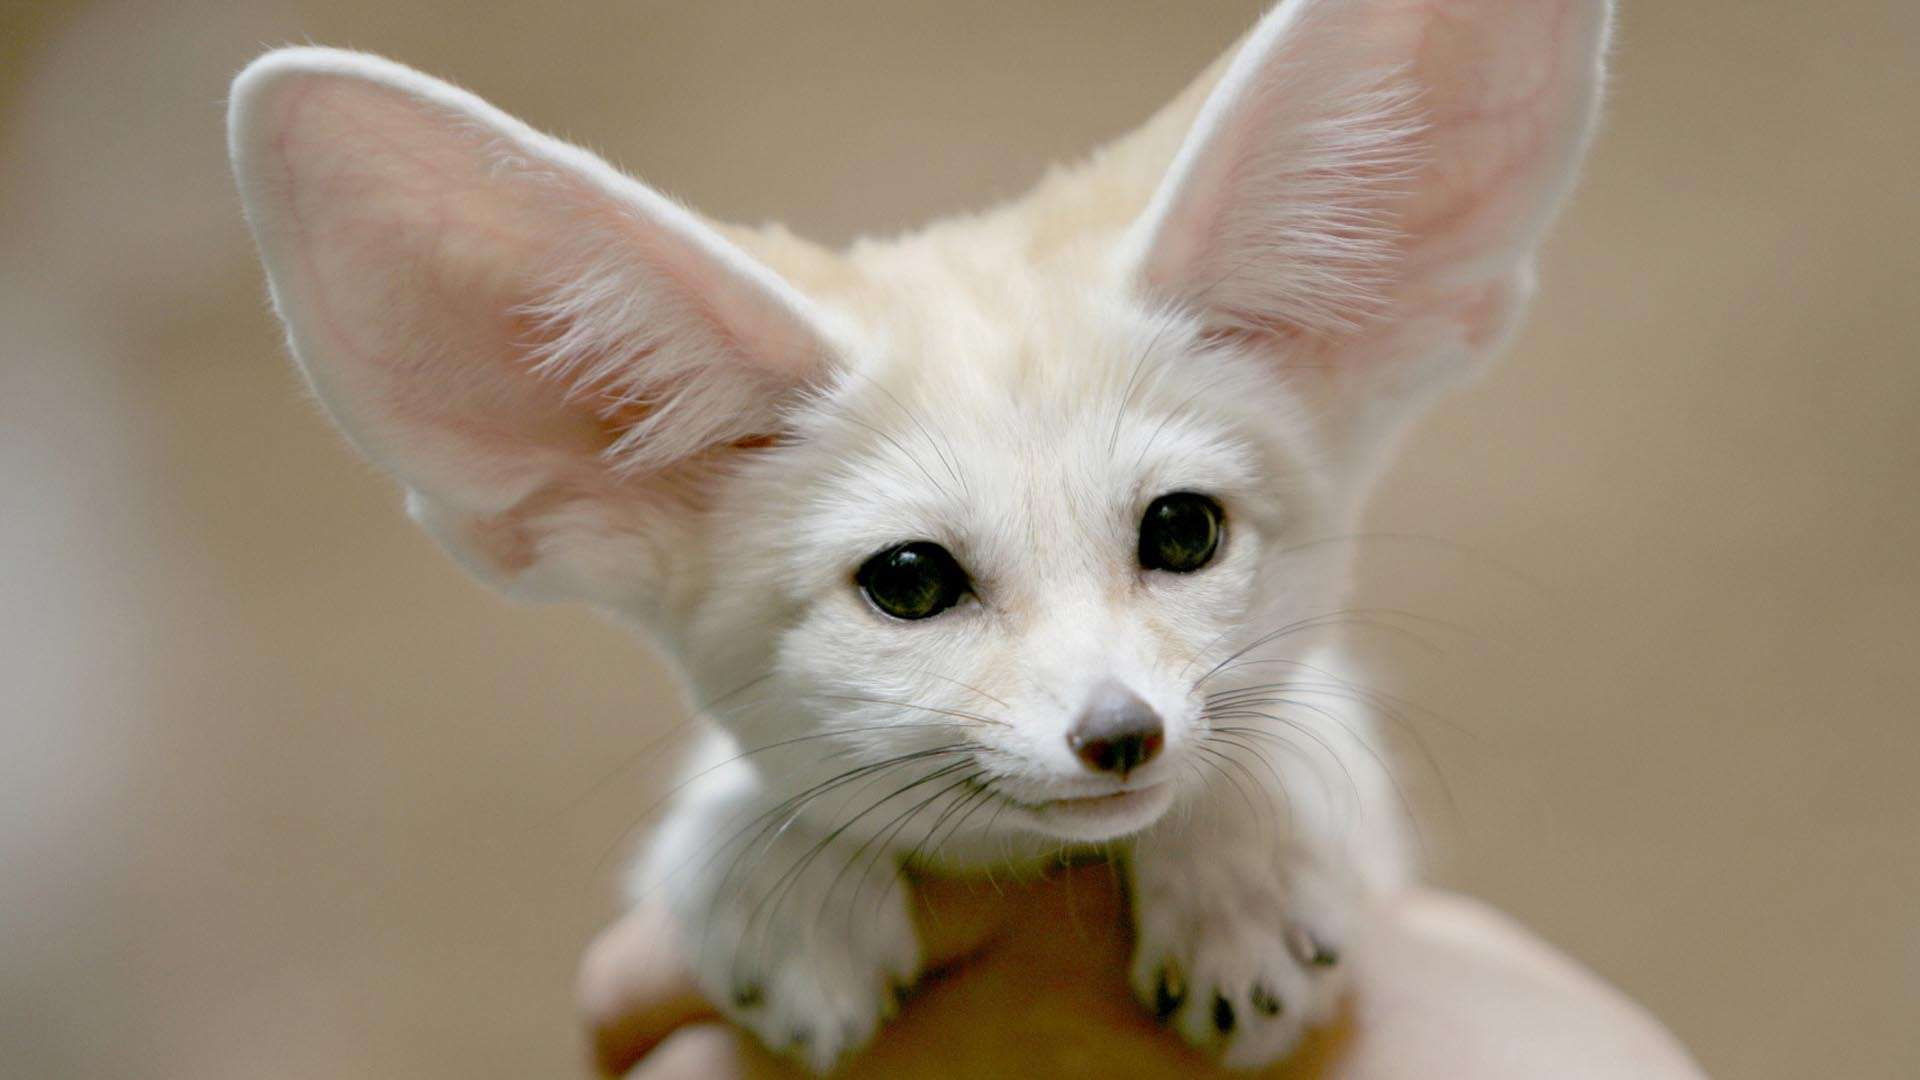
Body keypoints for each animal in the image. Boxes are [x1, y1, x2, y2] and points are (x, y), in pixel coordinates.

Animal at [228, 0, 1611, 1070]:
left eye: (1181, 530)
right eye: (908, 581)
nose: (1121, 735)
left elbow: (1290, 723)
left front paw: (1241, 870)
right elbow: (746, 793)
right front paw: (778, 880)